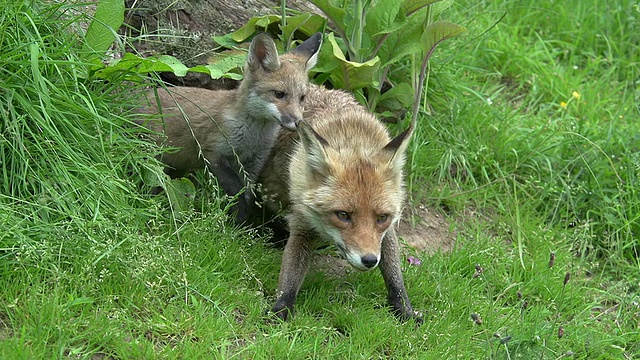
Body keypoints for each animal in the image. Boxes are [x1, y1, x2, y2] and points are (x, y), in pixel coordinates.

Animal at [138, 34, 322, 225]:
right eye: (279, 94)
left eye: (302, 98)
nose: (298, 122)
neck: (252, 137)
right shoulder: (213, 153)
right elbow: (236, 191)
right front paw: (236, 222)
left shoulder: (254, 163)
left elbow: (246, 193)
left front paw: (240, 225)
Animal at [260, 85, 420, 324]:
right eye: (343, 215)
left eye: (382, 217)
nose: (369, 260)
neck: (352, 139)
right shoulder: (302, 221)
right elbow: (290, 275)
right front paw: (281, 308)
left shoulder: (387, 231)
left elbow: (394, 275)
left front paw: (404, 310)